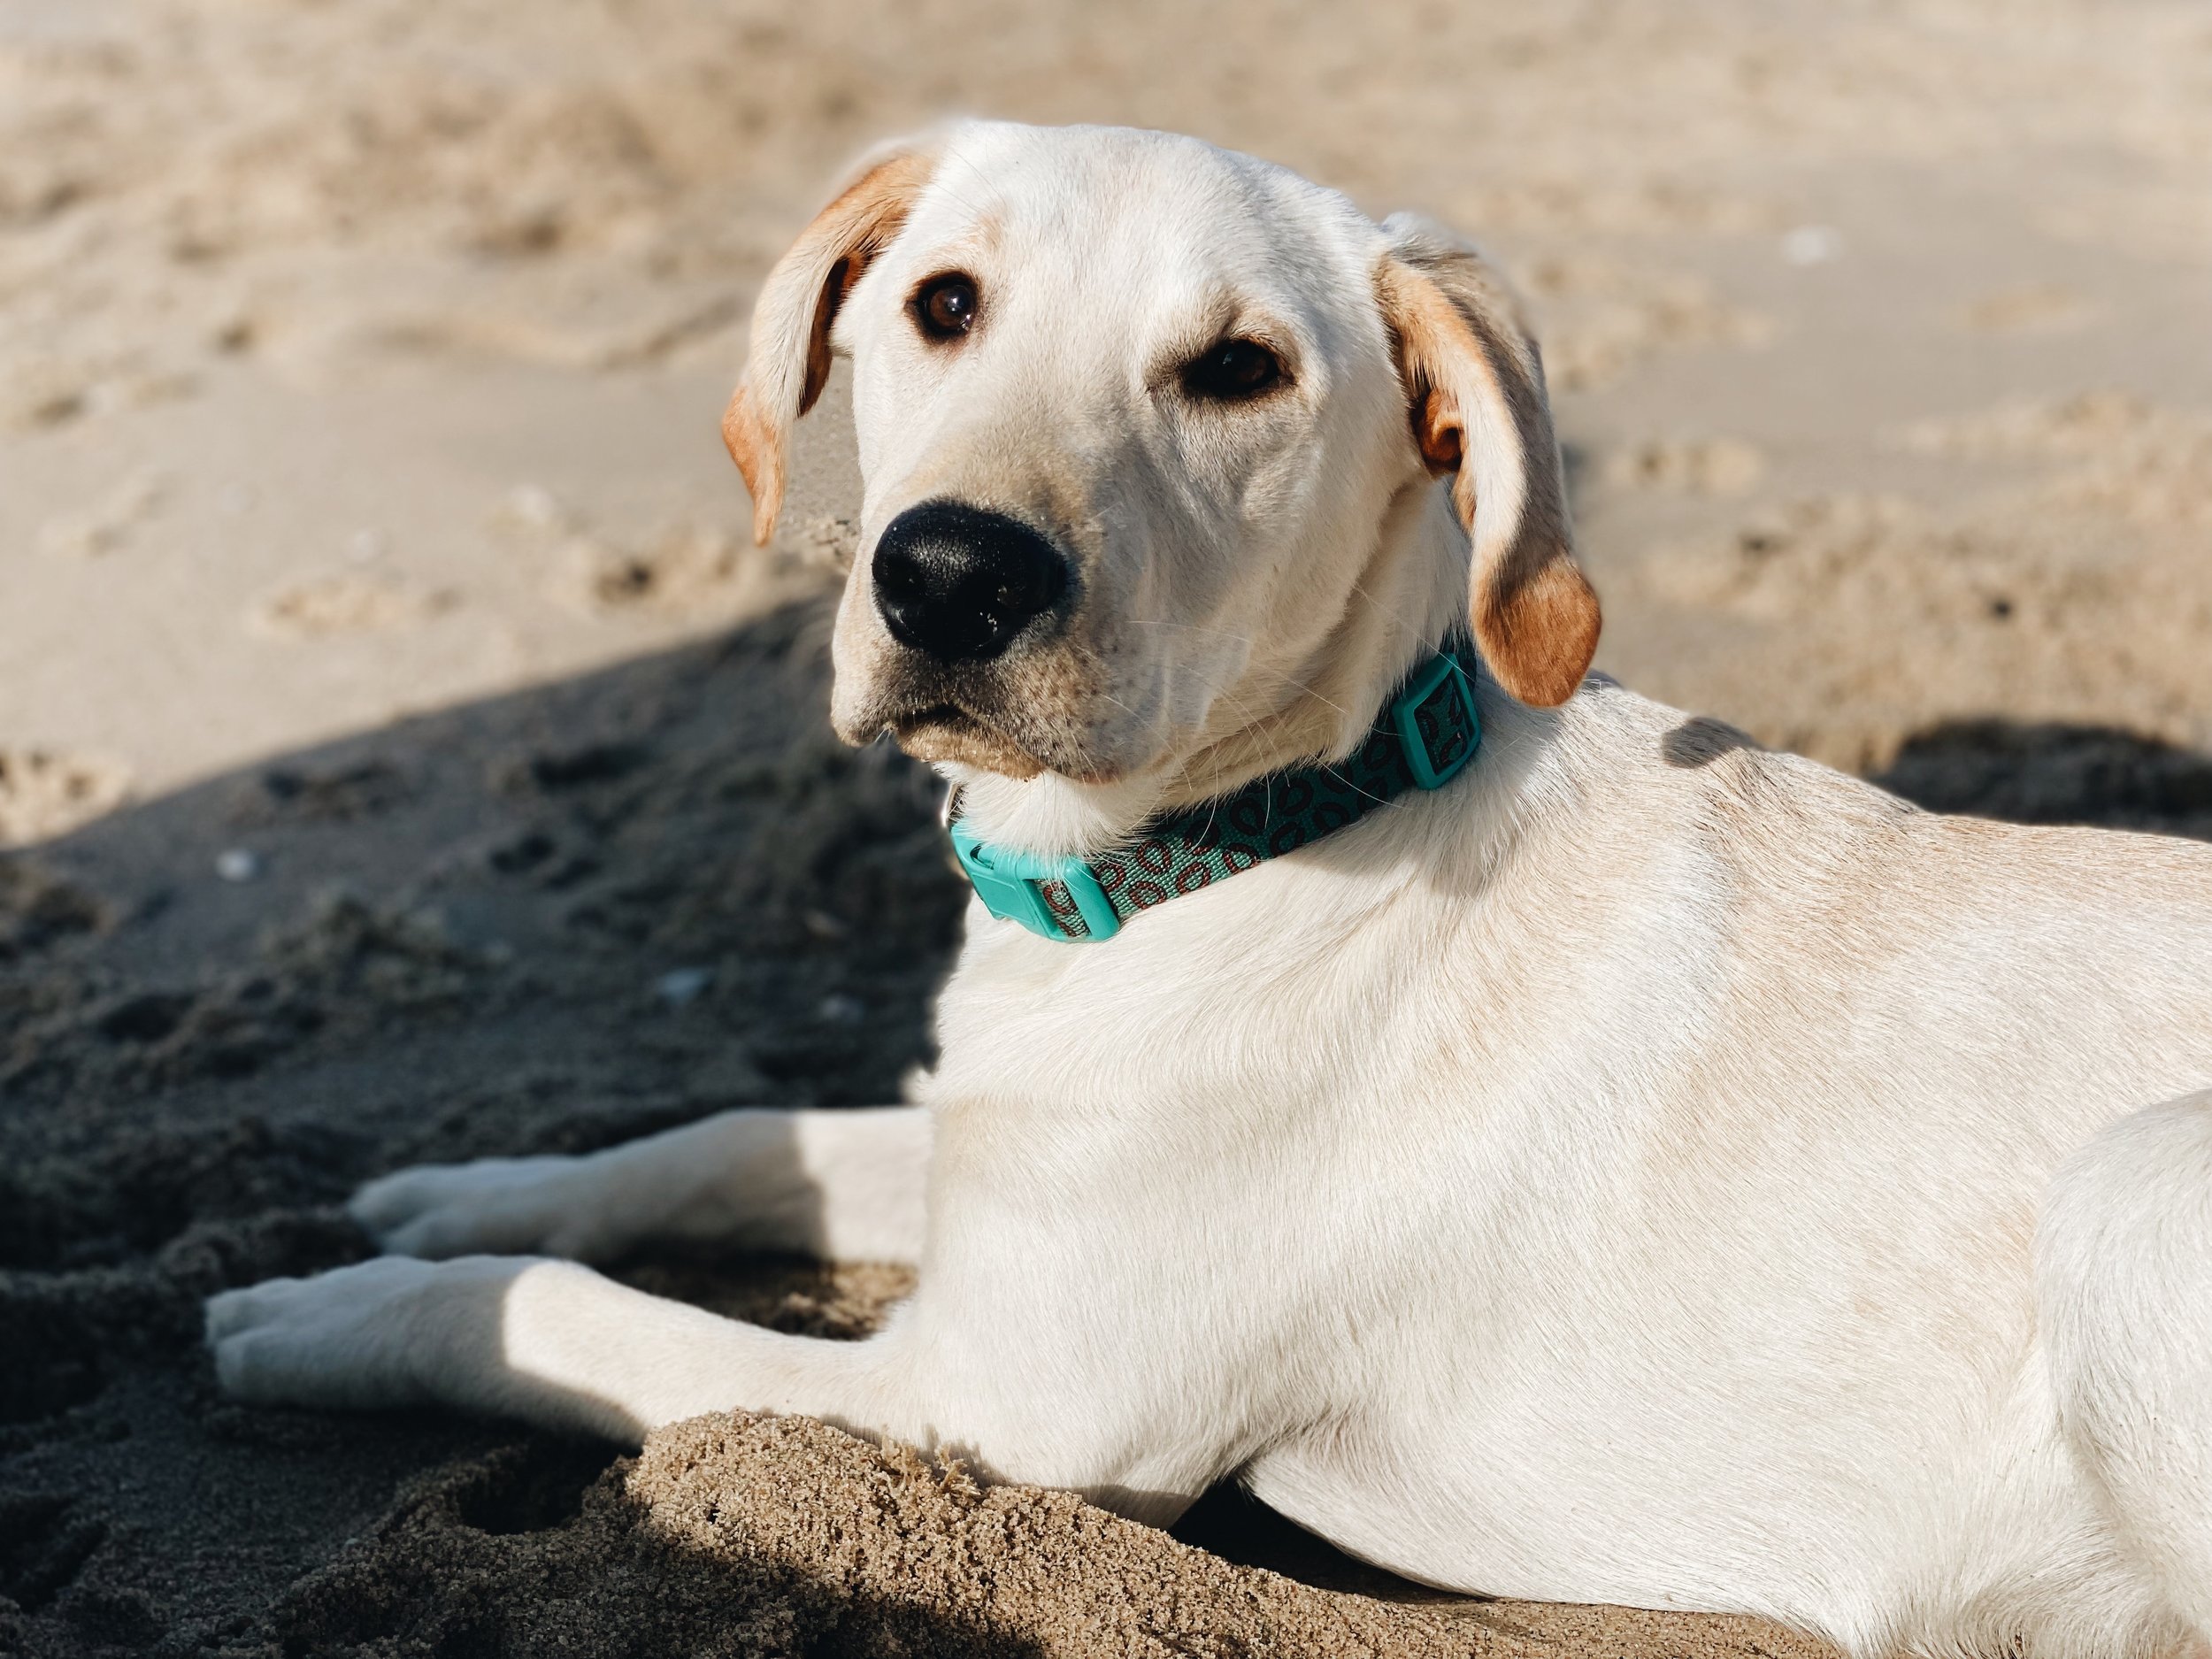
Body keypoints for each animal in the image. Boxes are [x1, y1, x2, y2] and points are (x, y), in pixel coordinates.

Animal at [204, 119, 2212, 1659]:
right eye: (943, 304)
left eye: (1236, 369)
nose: (950, 574)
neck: (1242, 843)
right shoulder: (995, 1162)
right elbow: (719, 1133)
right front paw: (453, 1190)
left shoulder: (986, 1411)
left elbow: (583, 1316)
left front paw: (329, 1311)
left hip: (2125, 1197)